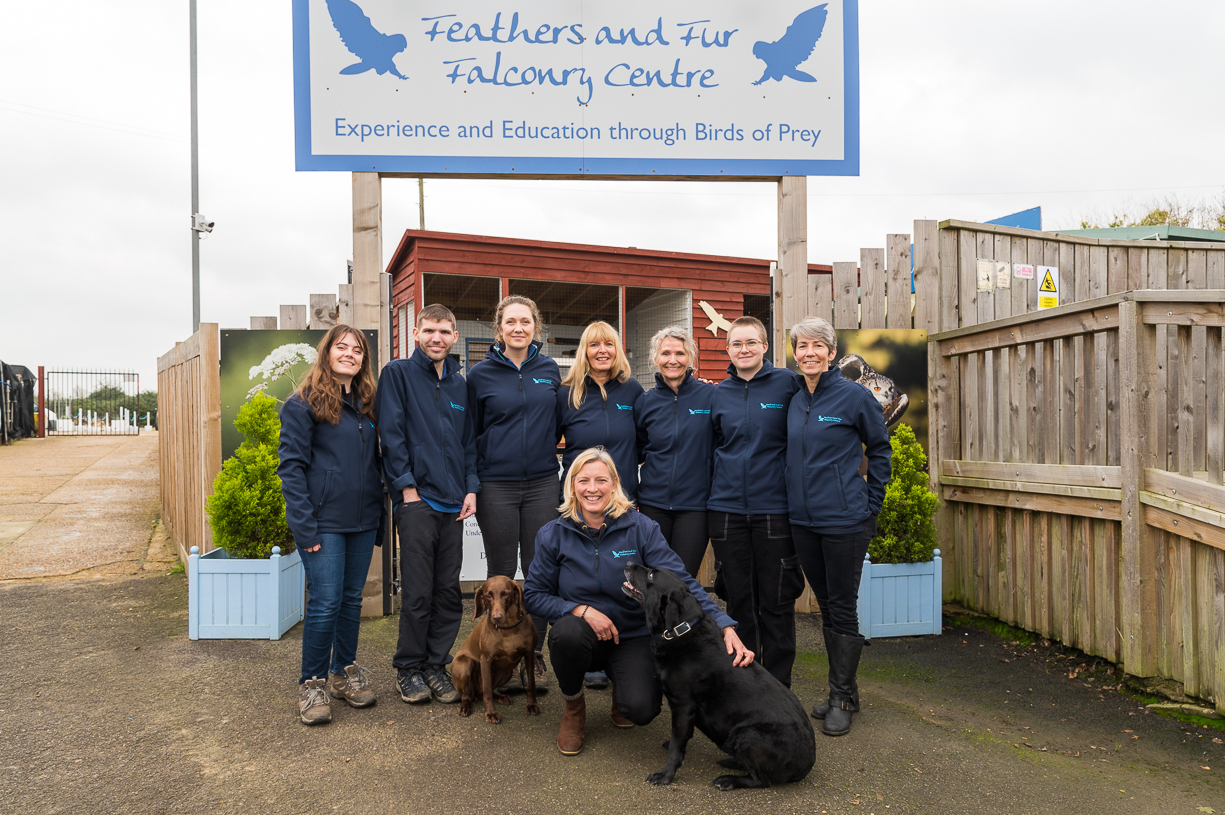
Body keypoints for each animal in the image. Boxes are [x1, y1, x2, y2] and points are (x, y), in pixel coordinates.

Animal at [453, 576, 539, 720]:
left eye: (506, 594)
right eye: (488, 595)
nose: (497, 617)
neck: (508, 629)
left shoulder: (529, 654)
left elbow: (531, 683)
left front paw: (531, 705)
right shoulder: (486, 660)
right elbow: (487, 690)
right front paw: (491, 713)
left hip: (506, 672)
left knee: (484, 692)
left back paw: (501, 697)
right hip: (464, 664)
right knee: (468, 695)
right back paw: (466, 706)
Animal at [622, 558, 813, 789]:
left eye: (651, 575)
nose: (628, 562)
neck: (680, 631)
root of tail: (807, 764)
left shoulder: (682, 706)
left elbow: (676, 749)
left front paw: (666, 775)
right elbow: (680, 739)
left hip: (747, 735)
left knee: (761, 780)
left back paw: (728, 779)